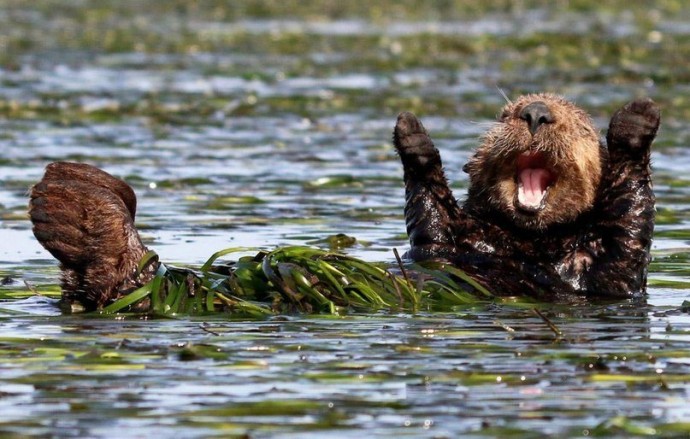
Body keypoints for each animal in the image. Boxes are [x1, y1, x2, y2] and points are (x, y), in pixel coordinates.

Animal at [392, 94, 656, 300]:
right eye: (505, 115)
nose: (536, 113)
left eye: (581, 128)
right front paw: (412, 132)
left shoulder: (605, 268)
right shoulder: (444, 240)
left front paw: (638, 117)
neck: (527, 241)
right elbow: (432, 215)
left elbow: (629, 223)